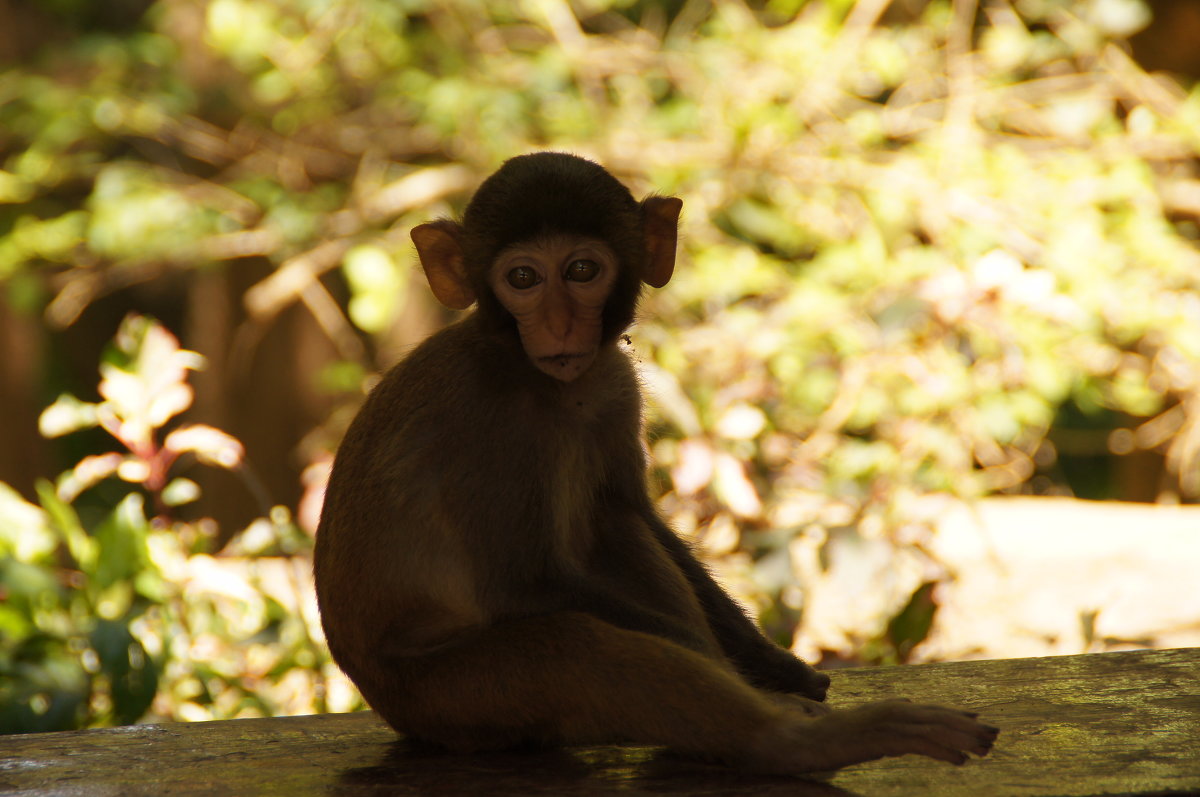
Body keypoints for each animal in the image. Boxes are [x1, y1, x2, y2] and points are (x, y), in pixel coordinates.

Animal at [309, 152, 993, 772]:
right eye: (523, 278)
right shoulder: (487, 419)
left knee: (613, 526)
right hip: (446, 699)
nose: (559, 323)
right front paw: (751, 682)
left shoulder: (615, 384)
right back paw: (800, 742)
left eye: (582, 270)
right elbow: (524, 582)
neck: (539, 376)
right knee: (572, 647)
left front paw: (773, 664)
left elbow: (632, 513)